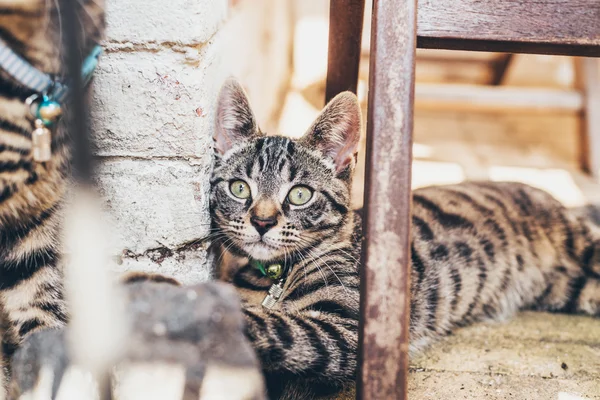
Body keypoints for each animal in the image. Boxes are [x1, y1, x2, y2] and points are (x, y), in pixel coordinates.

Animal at [210, 77, 600, 396]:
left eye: (300, 194)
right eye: (239, 188)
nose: (262, 221)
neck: (277, 276)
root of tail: (553, 199)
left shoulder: (347, 331)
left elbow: (280, 327)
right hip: (572, 289)